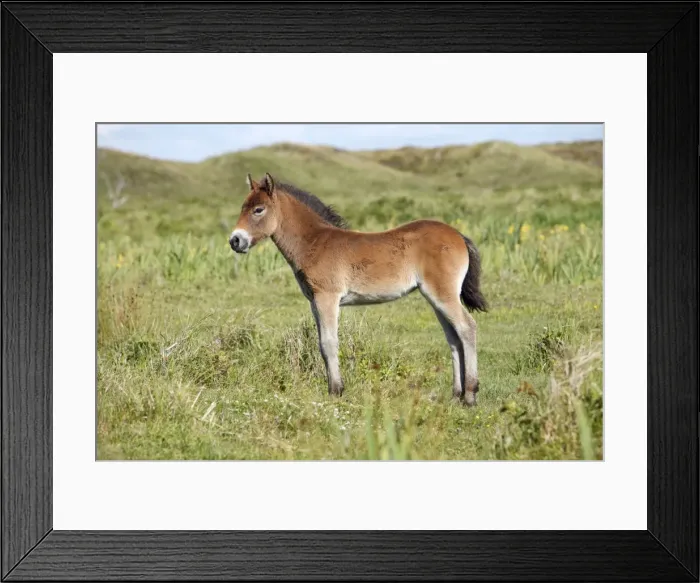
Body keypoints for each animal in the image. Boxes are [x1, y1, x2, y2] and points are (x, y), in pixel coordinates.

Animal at [229, 172, 488, 406]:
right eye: (242, 207)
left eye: (258, 209)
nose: (235, 241)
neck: (315, 242)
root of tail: (458, 235)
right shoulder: (314, 302)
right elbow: (321, 343)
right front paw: (333, 388)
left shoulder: (327, 298)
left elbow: (329, 343)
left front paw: (336, 391)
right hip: (435, 297)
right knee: (453, 337)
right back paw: (456, 396)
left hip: (442, 294)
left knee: (467, 328)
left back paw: (470, 396)